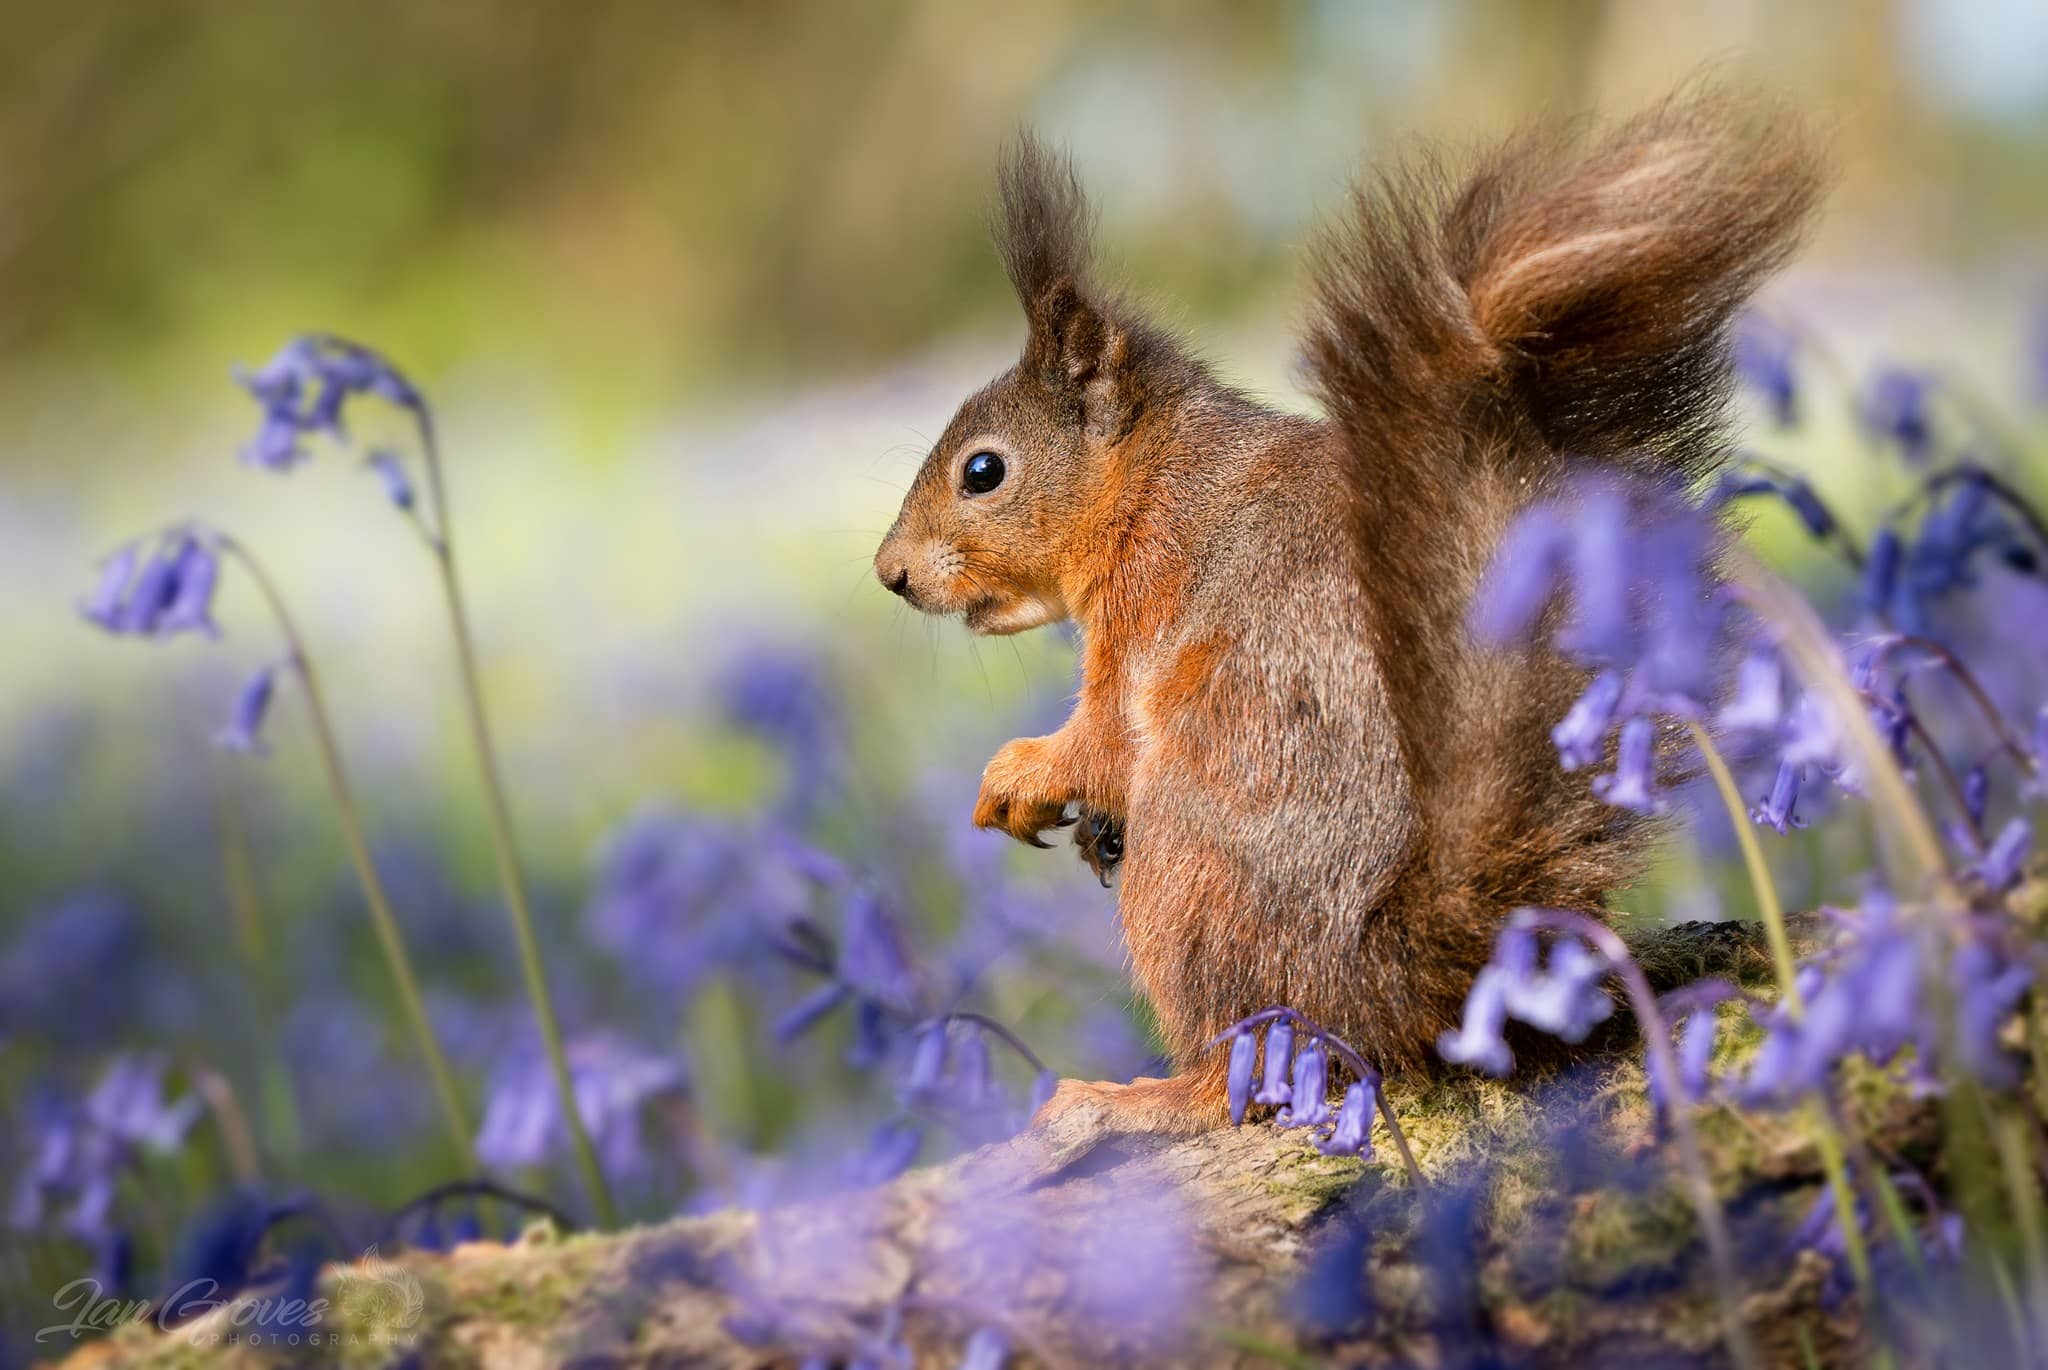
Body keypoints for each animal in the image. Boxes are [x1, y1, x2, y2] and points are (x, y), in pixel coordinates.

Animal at [873, 90, 1822, 1135]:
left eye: (983, 471)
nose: (889, 574)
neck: (1155, 485)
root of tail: (1386, 985)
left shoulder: (1150, 612)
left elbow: (1109, 736)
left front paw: (1020, 773)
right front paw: (1082, 826)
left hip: (1188, 876)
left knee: (1242, 1071)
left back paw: (1134, 1099)